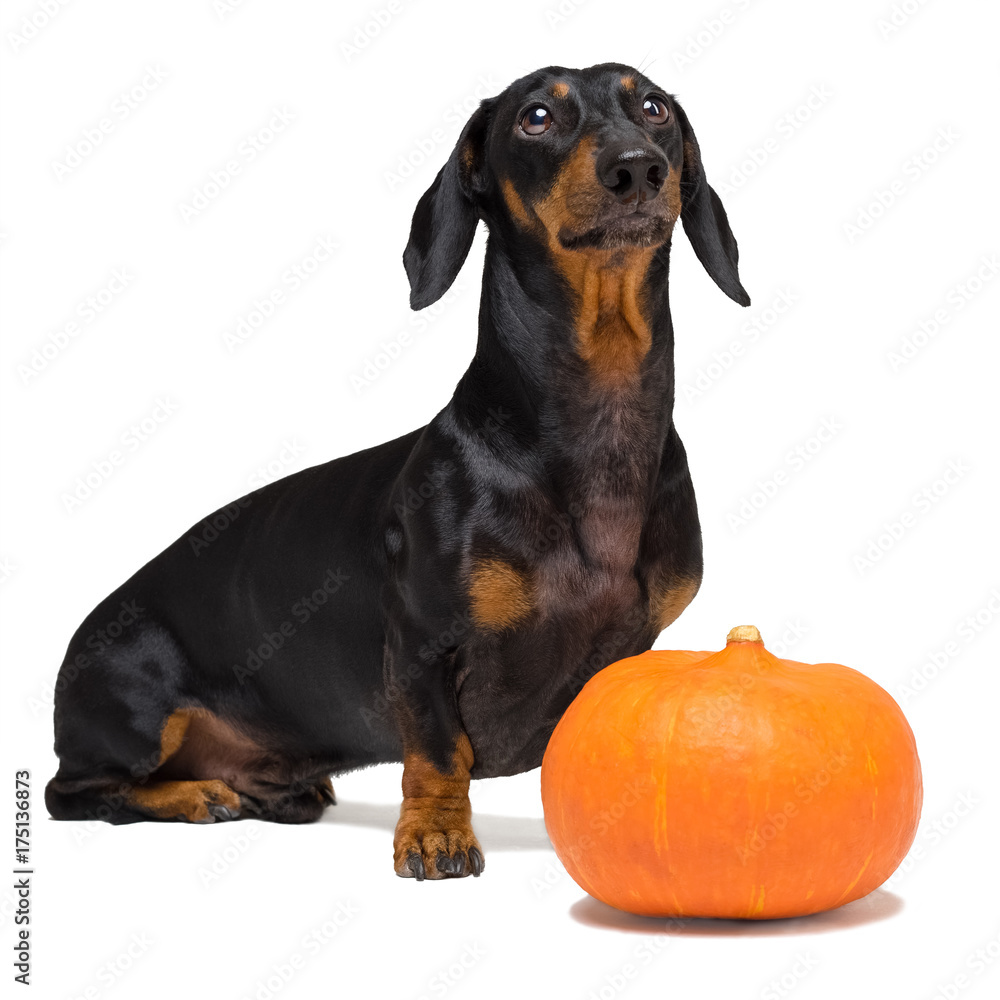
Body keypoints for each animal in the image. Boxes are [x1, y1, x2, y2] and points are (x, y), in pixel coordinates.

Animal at [47, 62, 752, 880]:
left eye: (655, 108)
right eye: (537, 117)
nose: (638, 168)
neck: (593, 422)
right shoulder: (420, 644)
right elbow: (438, 754)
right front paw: (437, 836)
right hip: (136, 706)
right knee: (75, 792)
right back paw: (194, 796)